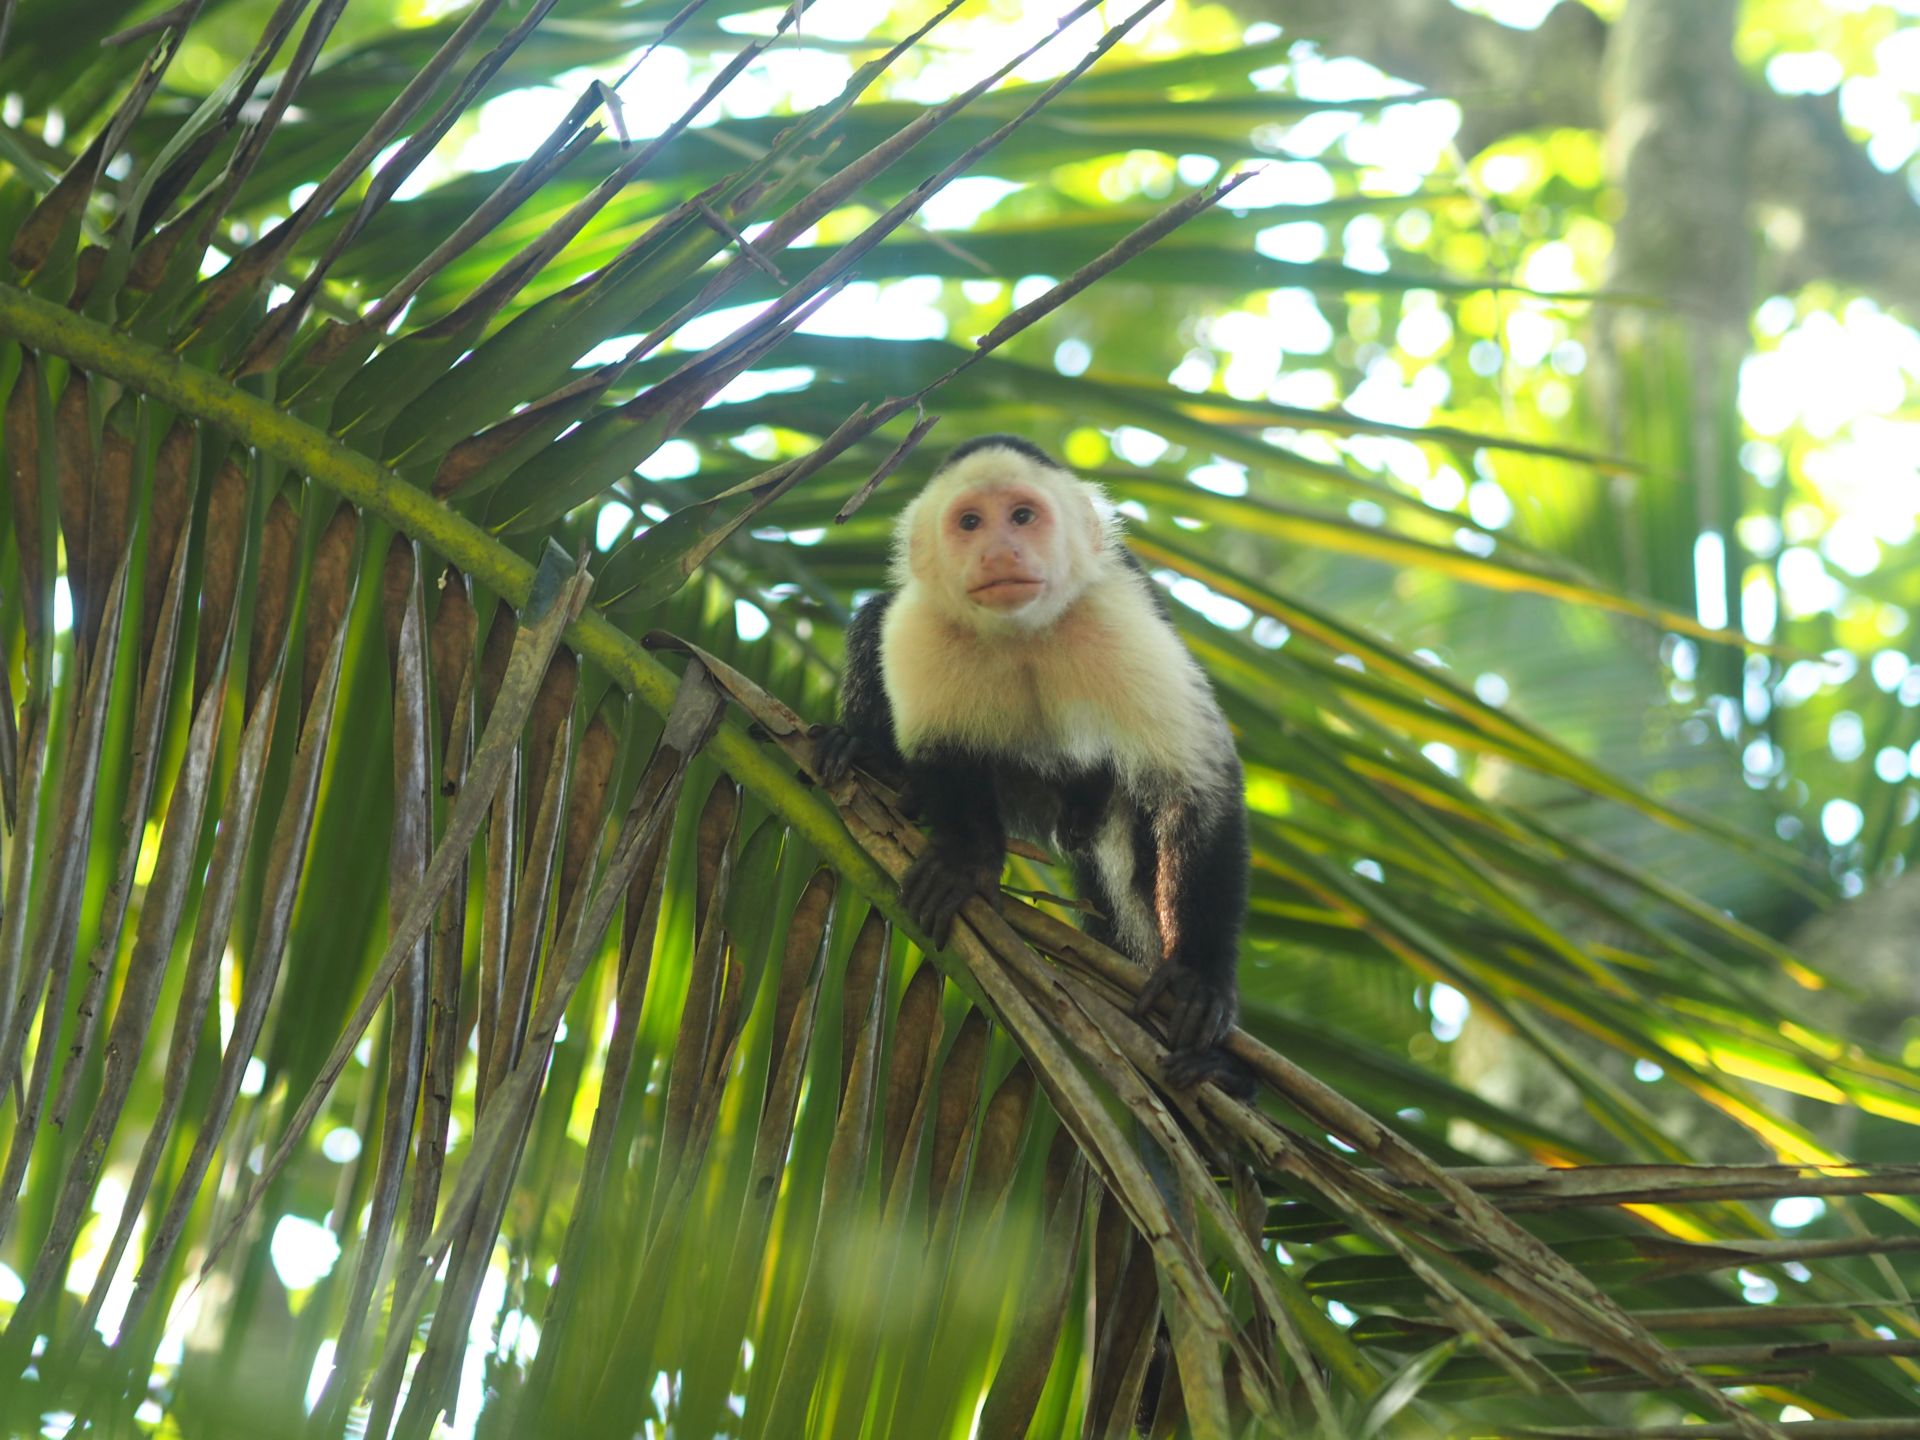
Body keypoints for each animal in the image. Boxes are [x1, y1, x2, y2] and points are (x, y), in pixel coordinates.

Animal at [817, 433, 1251, 1090]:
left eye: (1022, 516)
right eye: (970, 522)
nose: (1001, 550)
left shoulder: (1115, 618)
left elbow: (1194, 787)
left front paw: (1196, 975)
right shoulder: (924, 626)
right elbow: (941, 746)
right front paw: (967, 860)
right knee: (875, 616)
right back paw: (868, 758)